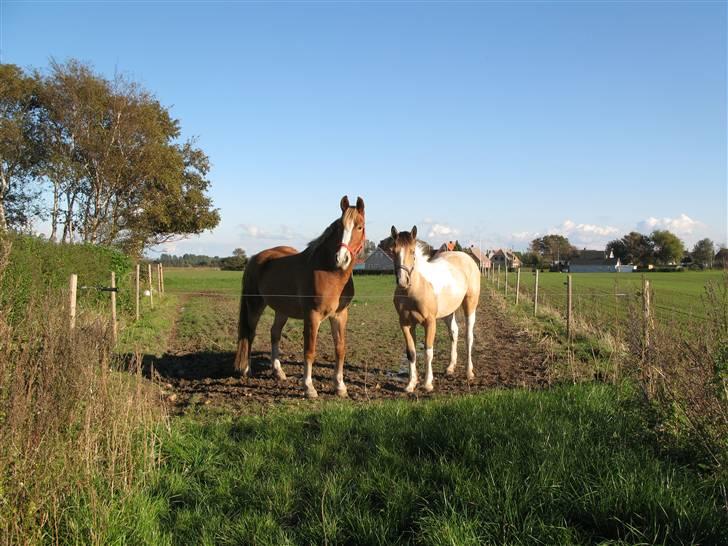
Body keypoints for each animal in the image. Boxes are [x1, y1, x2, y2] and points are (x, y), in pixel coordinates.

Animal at [236, 194, 366, 396]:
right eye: (339, 227)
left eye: (359, 226)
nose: (341, 258)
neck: (330, 272)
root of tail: (255, 258)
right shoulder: (312, 316)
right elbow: (309, 351)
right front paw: (309, 387)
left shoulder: (340, 315)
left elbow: (340, 349)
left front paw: (340, 386)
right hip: (255, 305)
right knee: (249, 333)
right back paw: (246, 369)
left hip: (282, 310)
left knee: (274, 333)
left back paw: (278, 372)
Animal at [384, 225, 480, 392]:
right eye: (393, 251)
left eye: (412, 251)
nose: (403, 281)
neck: (415, 289)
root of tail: (466, 257)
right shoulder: (406, 323)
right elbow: (411, 353)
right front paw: (411, 384)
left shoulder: (430, 322)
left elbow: (428, 351)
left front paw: (428, 383)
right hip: (448, 312)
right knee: (454, 332)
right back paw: (450, 368)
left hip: (470, 306)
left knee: (468, 337)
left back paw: (469, 372)